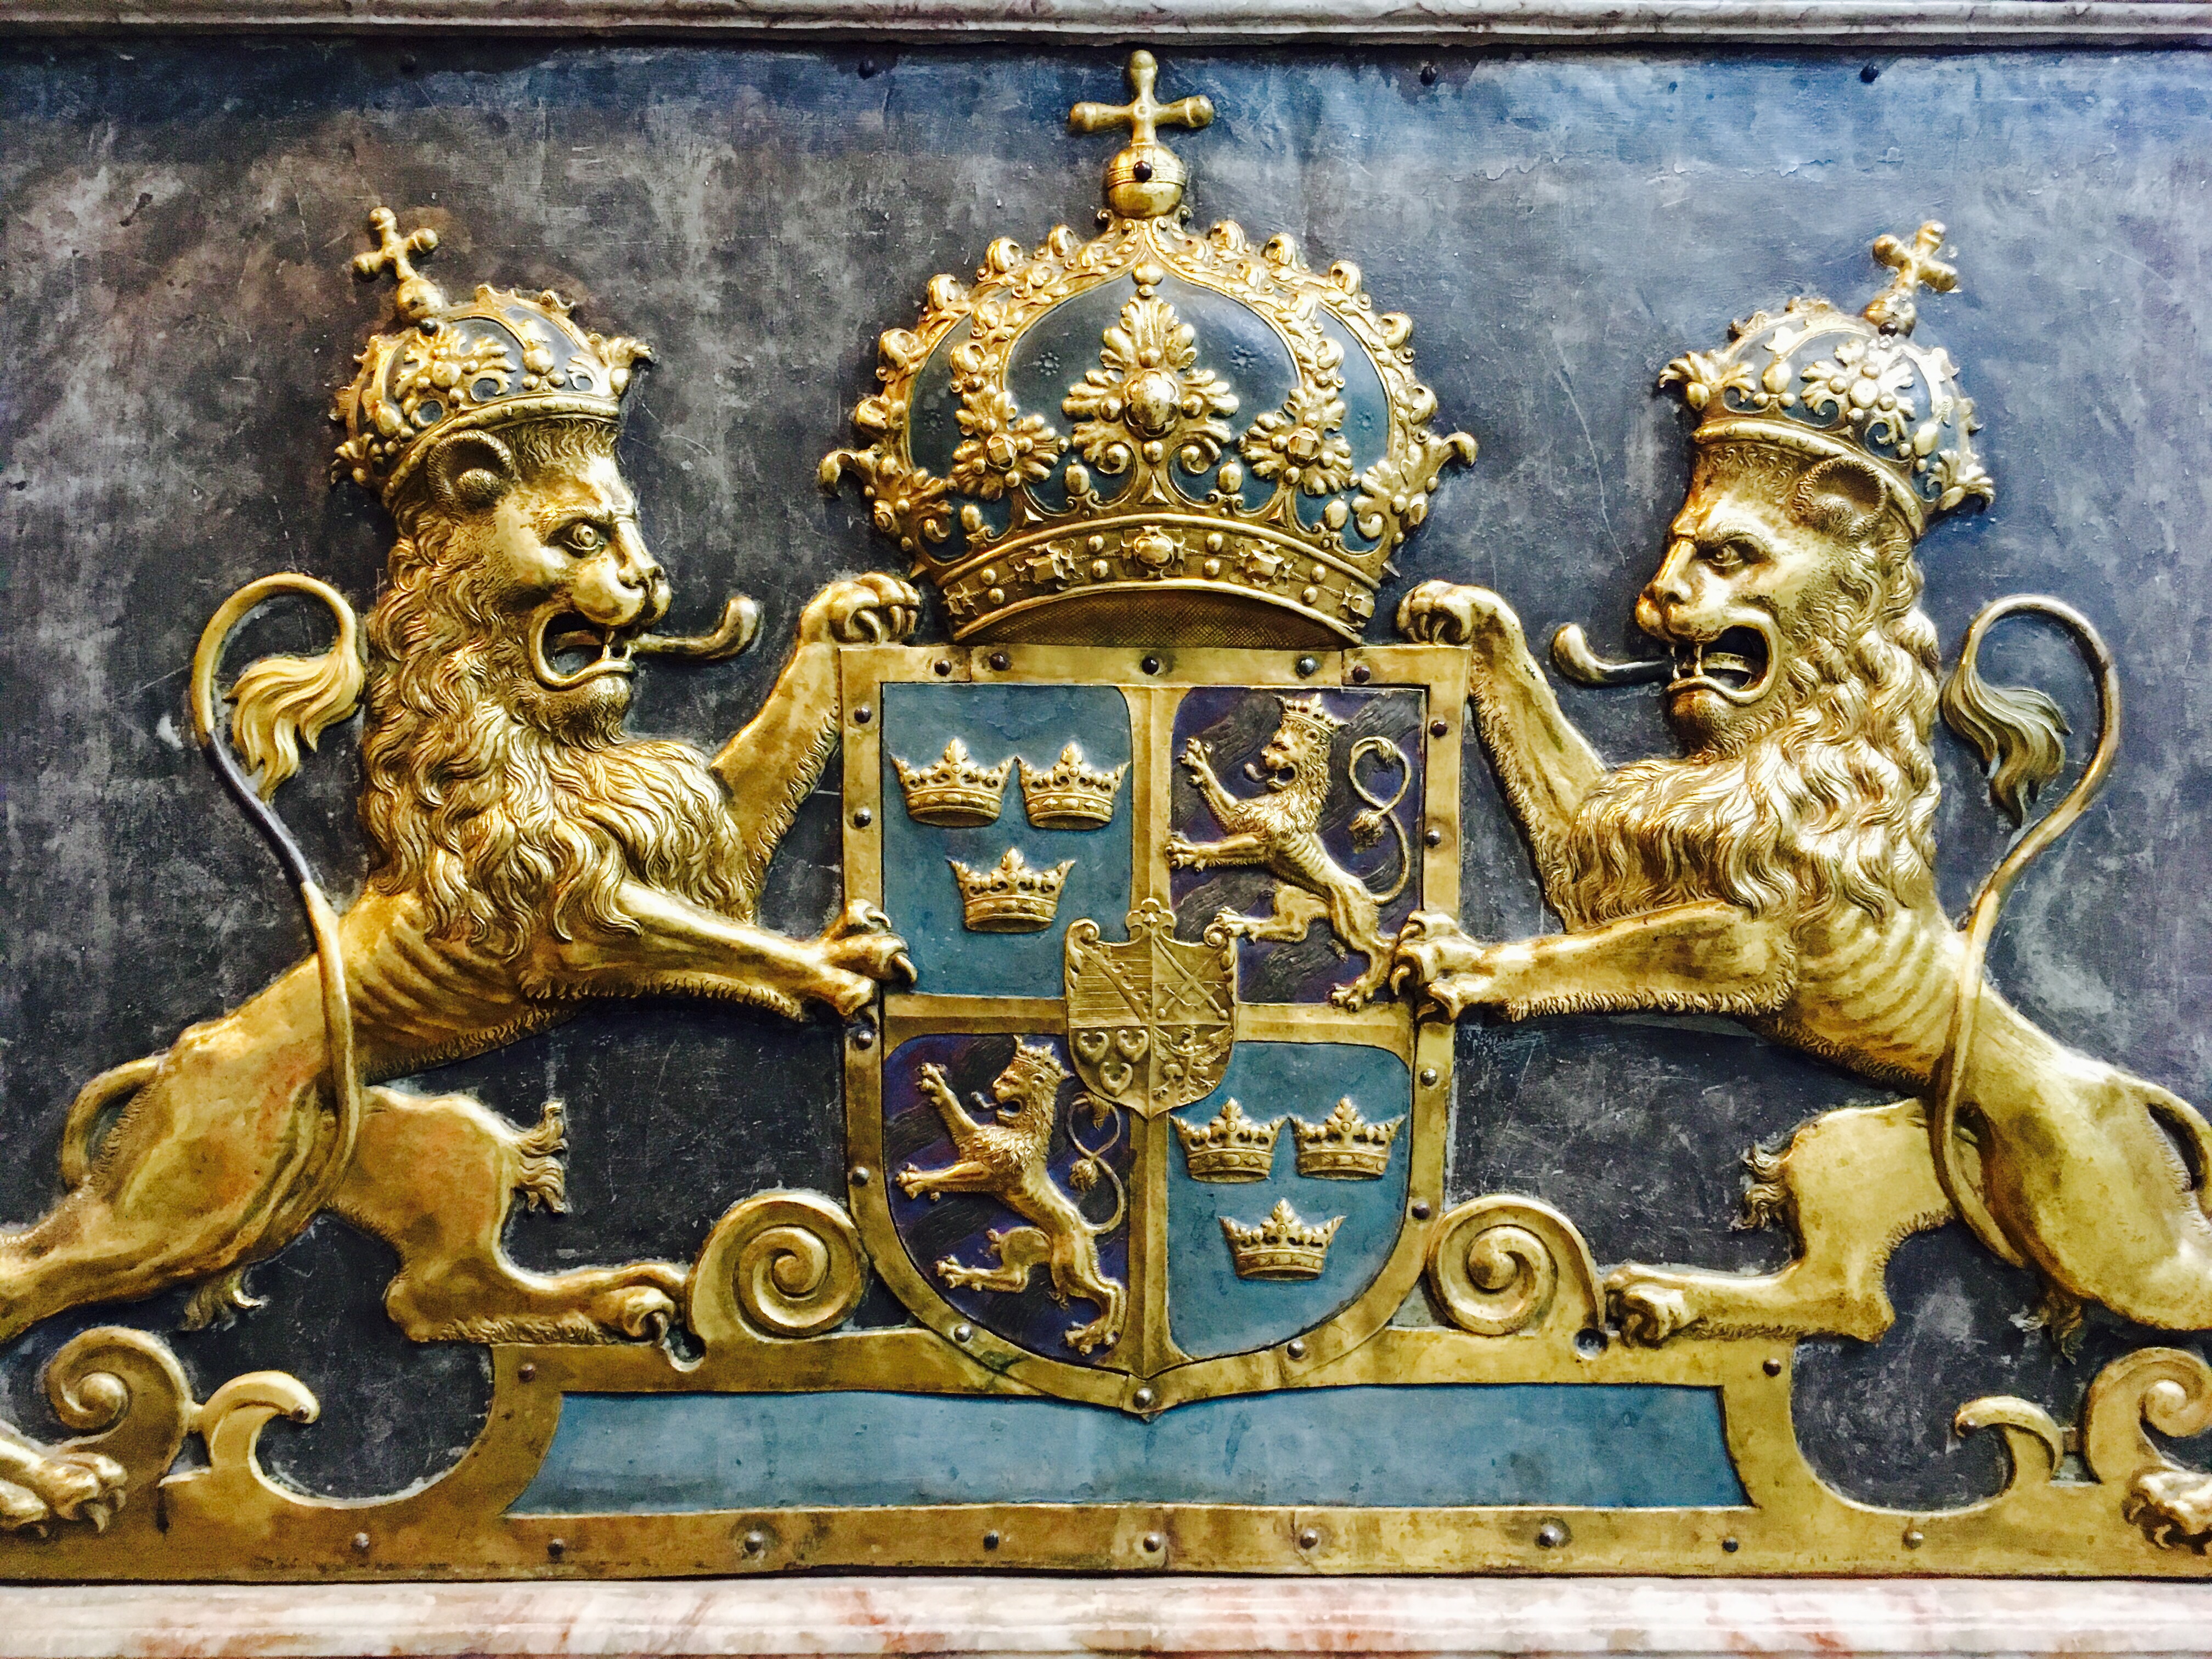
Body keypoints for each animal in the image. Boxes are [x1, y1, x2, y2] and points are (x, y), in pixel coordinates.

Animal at [0, 411, 921, 1529]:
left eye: (628, 525)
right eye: (580, 536)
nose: (653, 581)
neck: (535, 733)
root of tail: (170, 1066)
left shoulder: (687, 842)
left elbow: (765, 765)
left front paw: (846, 612)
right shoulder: (577, 918)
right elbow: (729, 941)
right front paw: (835, 962)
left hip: (432, 1145)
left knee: (433, 1292)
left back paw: (604, 1300)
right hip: (188, 1198)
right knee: (26, 1269)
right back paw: (45, 1480)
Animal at [896, 1040, 1126, 1354]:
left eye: (1011, 1081)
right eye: (1003, 1076)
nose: (993, 1088)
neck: (1020, 1132)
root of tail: (1087, 1227)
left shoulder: (990, 1175)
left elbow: (947, 1176)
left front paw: (917, 1180)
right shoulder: (976, 1145)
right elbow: (959, 1118)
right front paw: (937, 1084)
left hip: (1069, 1266)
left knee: (1110, 1291)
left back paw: (1089, 1335)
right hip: (1026, 1240)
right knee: (1015, 1279)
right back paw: (961, 1273)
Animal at [1166, 694, 1414, 1009]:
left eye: (1281, 746)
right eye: (1273, 743)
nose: (1263, 756)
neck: (1288, 797)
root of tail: (1368, 893)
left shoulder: (1261, 843)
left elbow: (1219, 847)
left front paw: (1187, 850)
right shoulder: (1241, 818)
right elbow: (1220, 797)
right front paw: (1199, 763)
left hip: (1350, 921)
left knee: (1382, 948)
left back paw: (1355, 992)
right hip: (1294, 895)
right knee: (1294, 929)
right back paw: (1240, 923)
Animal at [1390, 433, 2212, 1393]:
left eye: (1730, 554)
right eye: (1675, 546)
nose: (1653, 600)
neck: (1781, 739)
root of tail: (2132, 1092)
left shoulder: (1756, 934)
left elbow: (1596, 952)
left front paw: (1465, 963)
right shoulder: (1620, 850)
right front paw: (1465, 612)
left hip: (2102, 1227)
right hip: (1856, 1153)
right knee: (1852, 1299)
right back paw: (1668, 1297)